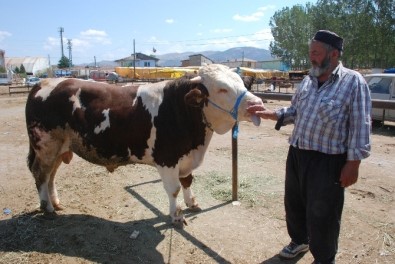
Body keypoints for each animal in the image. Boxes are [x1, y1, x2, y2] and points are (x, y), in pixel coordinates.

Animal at [26, 64, 264, 225]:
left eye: (241, 83)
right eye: (222, 89)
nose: (257, 104)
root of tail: (43, 82)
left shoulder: (186, 157)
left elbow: (187, 181)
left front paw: (192, 203)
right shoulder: (167, 158)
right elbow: (174, 189)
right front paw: (177, 216)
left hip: (59, 148)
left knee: (51, 175)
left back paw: (55, 202)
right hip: (45, 145)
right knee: (41, 174)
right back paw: (47, 207)